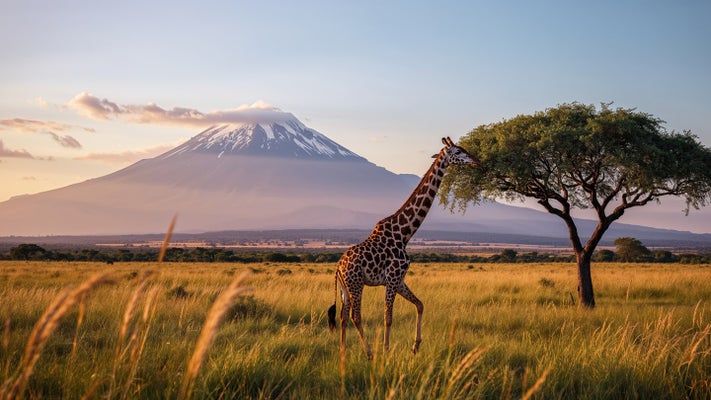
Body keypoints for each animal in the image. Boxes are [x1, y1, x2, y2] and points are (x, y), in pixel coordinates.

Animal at [327, 137, 479, 359]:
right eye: (458, 151)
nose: (476, 160)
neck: (405, 233)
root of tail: (338, 267)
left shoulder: (399, 280)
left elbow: (420, 304)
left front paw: (416, 346)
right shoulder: (392, 278)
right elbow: (388, 316)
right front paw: (386, 351)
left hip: (345, 289)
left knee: (343, 316)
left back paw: (343, 351)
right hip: (356, 284)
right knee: (356, 316)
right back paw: (369, 353)